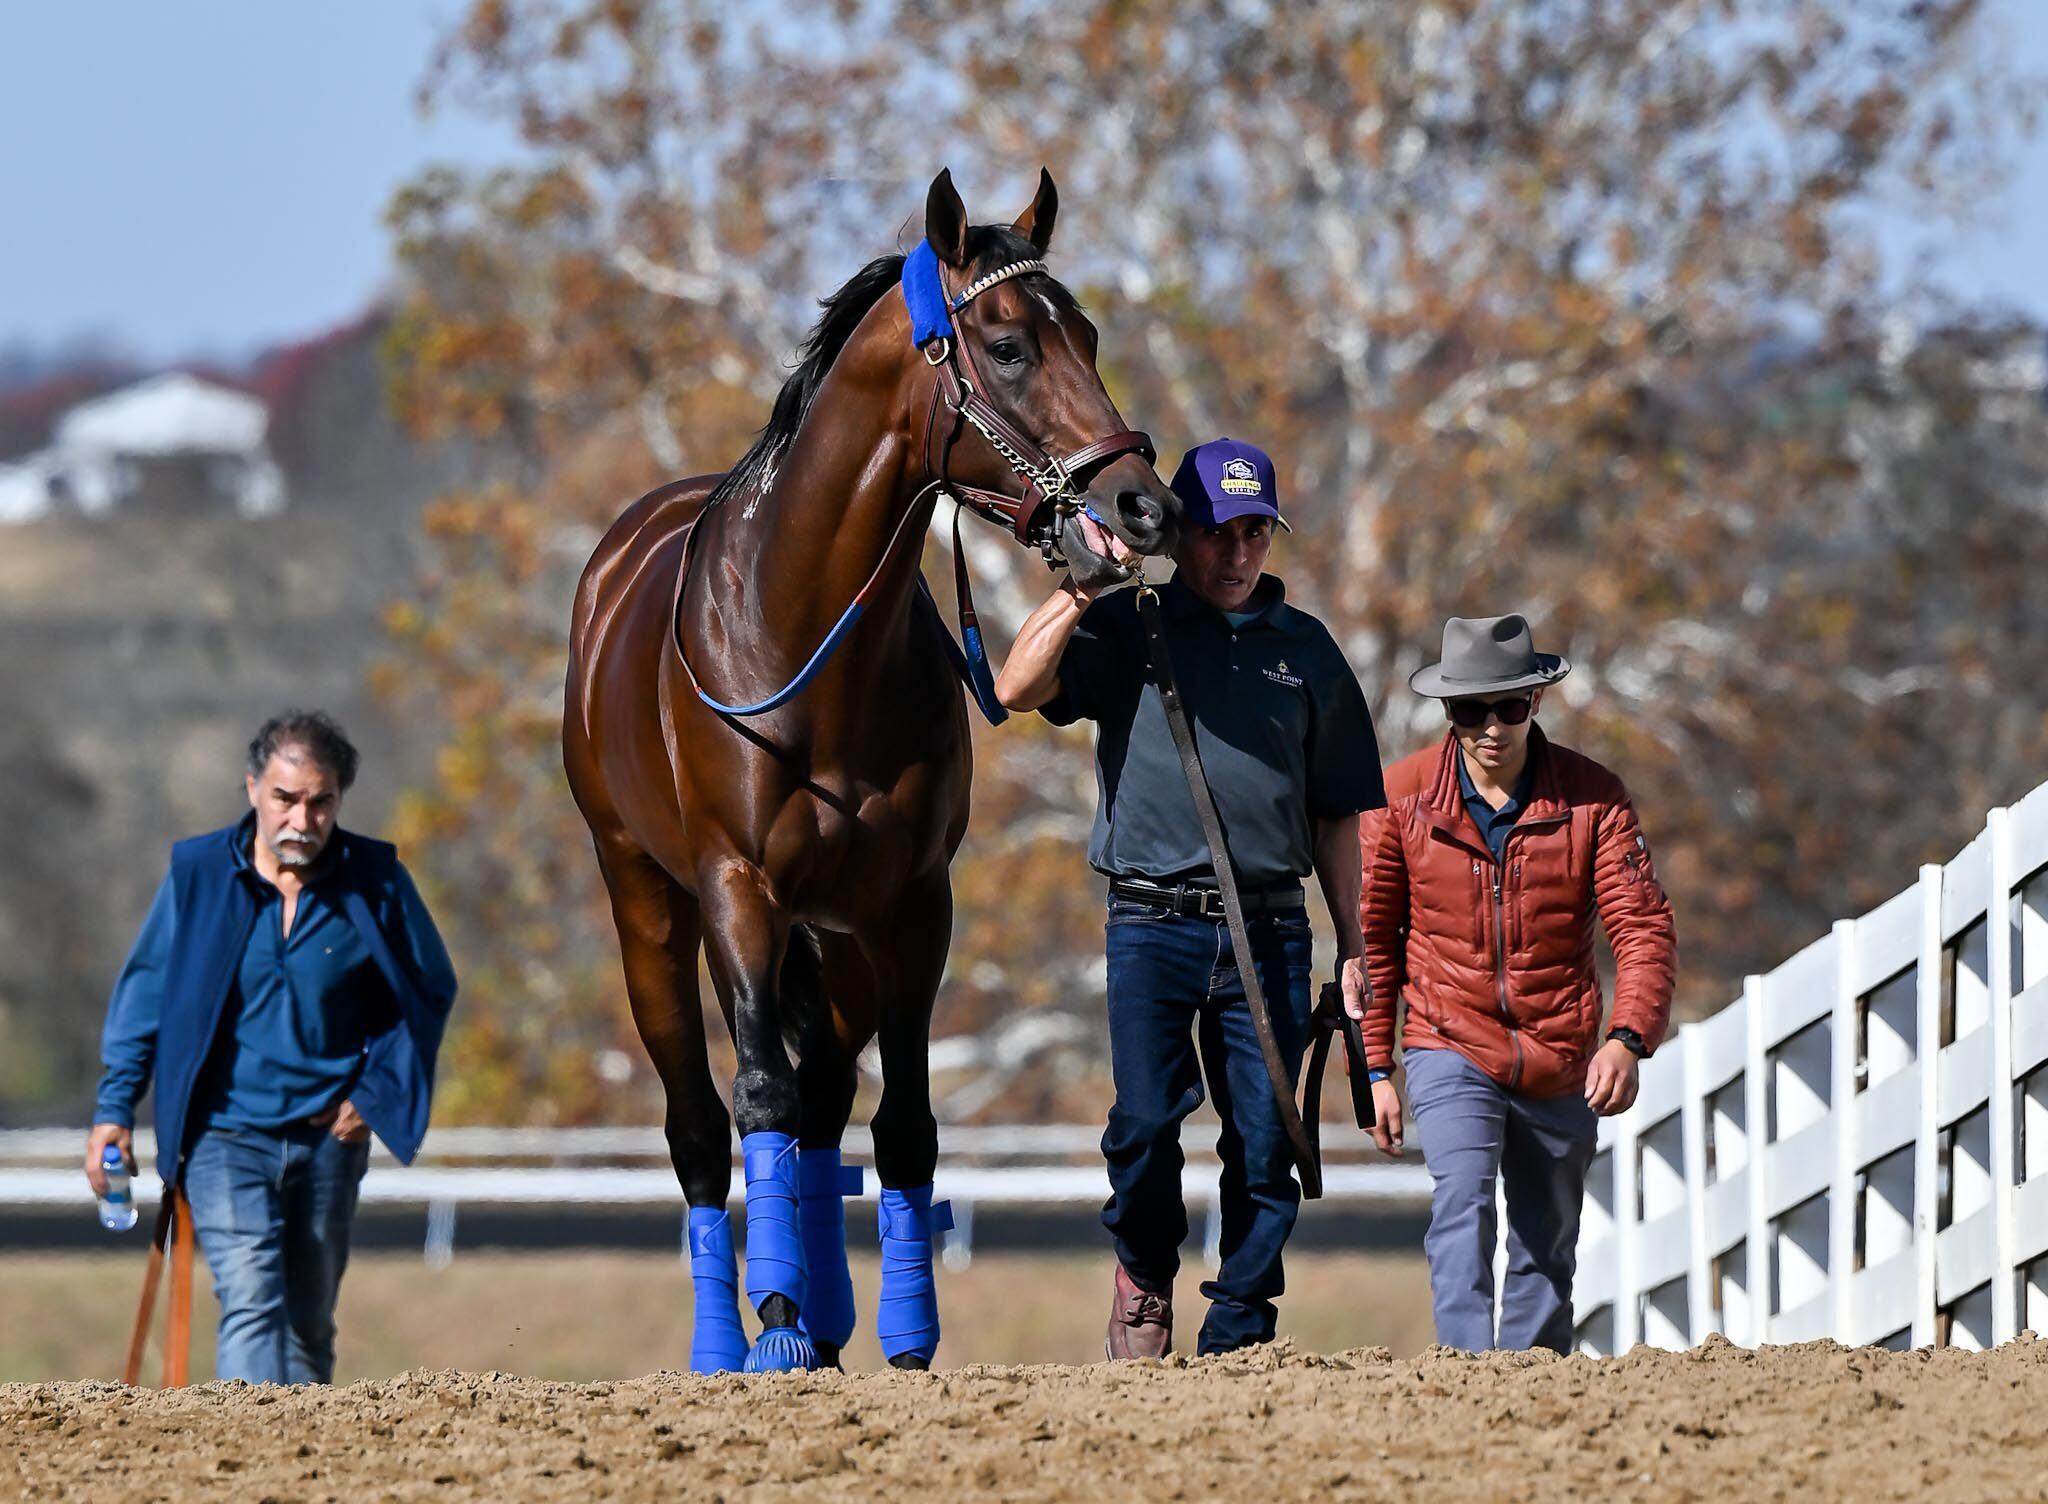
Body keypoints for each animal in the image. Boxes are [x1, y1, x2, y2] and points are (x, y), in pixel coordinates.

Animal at [565, 171, 1187, 1368]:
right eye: (1006, 344)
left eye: (1086, 333)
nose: (1142, 505)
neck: (805, 641)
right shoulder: (739, 891)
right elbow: (756, 1095)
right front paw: (771, 1322)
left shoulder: (910, 902)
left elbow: (898, 1123)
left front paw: (903, 1332)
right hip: (646, 900)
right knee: (703, 1122)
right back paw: (734, 1334)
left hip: (839, 942)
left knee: (823, 1098)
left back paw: (828, 1313)